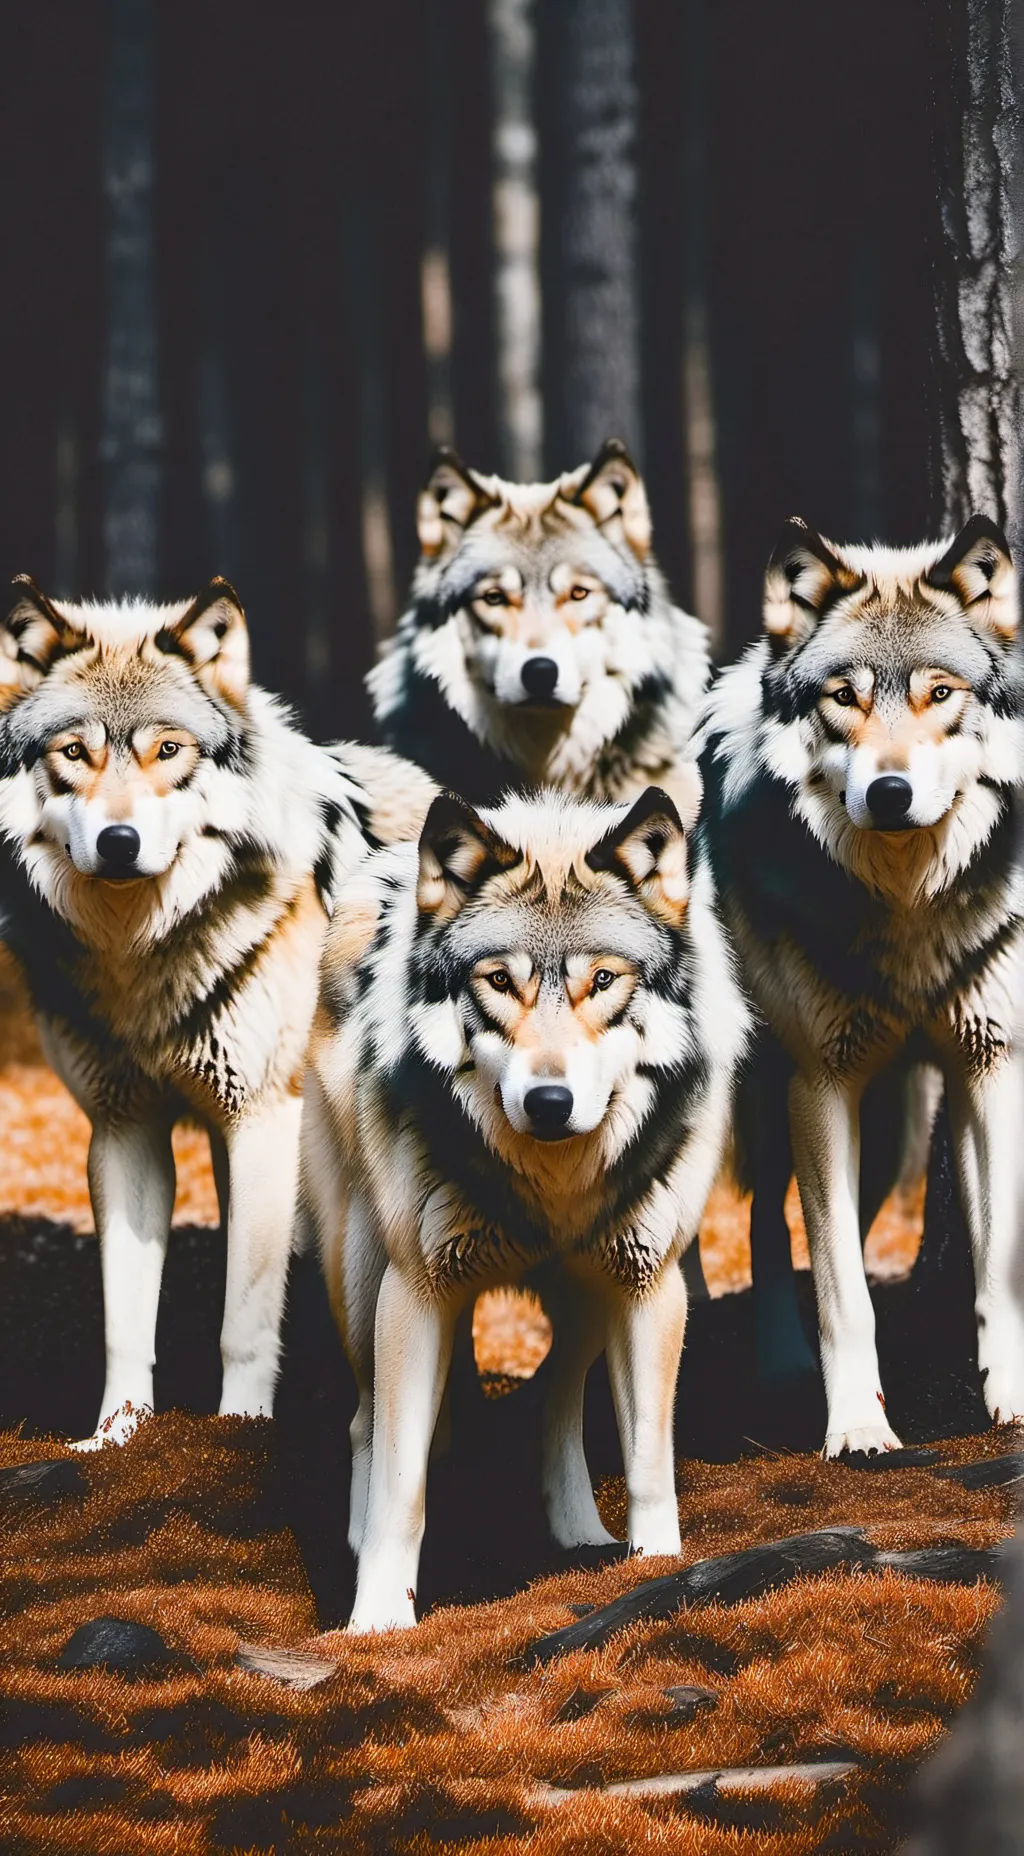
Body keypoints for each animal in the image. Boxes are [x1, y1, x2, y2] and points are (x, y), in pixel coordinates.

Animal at [0, 574, 435, 1447]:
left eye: (168, 751)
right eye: (75, 753)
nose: (120, 842)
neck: (141, 954)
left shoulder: (262, 1118)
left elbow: (245, 1318)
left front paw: (239, 1434)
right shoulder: (123, 1129)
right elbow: (125, 1322)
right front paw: (118, 1439)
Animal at [301, 784, 750, 1630]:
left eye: (602, 982)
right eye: (499, 982)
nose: (549, 1102)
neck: (555, 1185)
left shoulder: (651, 1286)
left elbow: (648, 1464)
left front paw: (657, 1568)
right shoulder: (418, 1294)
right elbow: (402, 1489)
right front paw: (377, 1620)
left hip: (589, 1293)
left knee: (556, 1400)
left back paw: (577, 1528)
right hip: (359, 1274)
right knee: (361, 1420)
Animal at [699, 514, 1024, 1456]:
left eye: (939, 693)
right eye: (843, 697)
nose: (889, 791)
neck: (907, 907)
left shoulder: (994, 1066)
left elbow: (998, 1261)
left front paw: (1010, 1396)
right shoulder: (821, 1083)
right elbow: (843, 1288)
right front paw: (856, 1428)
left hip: (895, 1133)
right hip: (775, 1097)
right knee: (767, 1229)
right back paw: (779, 1365)